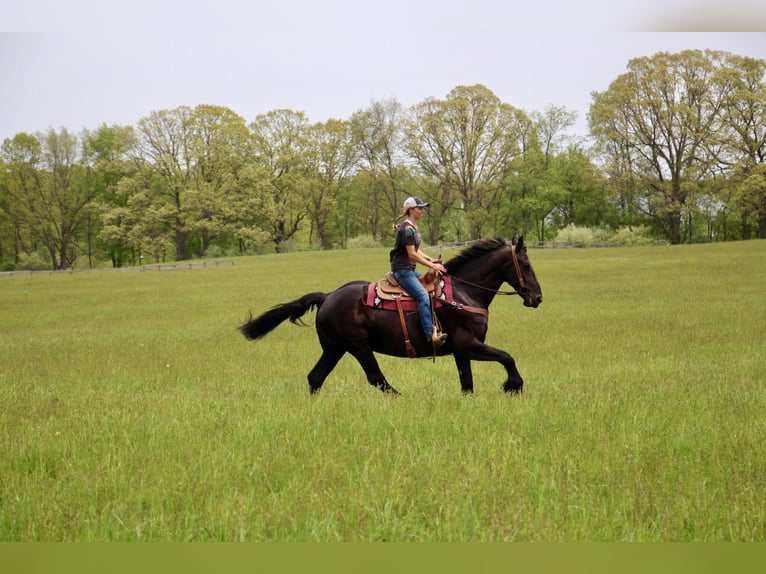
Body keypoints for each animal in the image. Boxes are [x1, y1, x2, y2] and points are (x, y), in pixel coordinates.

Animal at [242, 238, 544, 396]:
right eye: (526, 265)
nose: (538, 298)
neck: (464, 292)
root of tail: (327, 297)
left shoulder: (461, 351)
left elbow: (467, 383)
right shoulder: (468, 344)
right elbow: (507, 357)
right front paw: (513, 385)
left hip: (334, 348)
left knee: (315, 378)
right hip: (358, 347)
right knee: (377, 378)